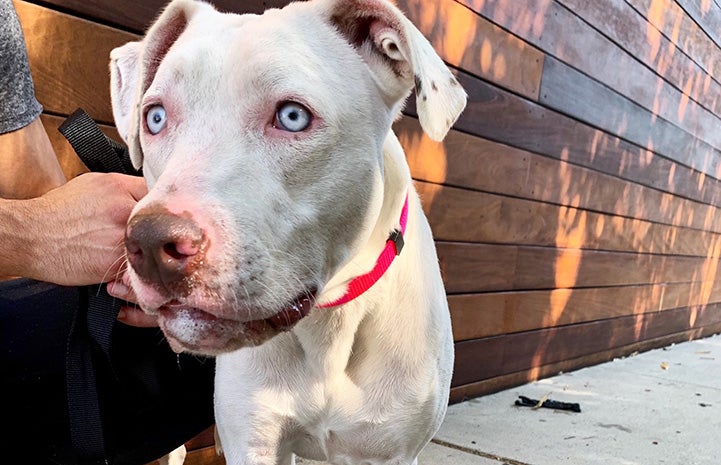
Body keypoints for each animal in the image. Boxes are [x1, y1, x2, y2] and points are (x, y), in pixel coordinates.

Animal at [109, 0, 464, 462]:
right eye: (154, 117)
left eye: (292, 117)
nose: (150, 243)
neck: (328, 321)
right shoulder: (255, 440)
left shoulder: (390, 450)